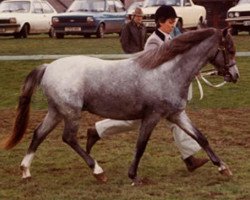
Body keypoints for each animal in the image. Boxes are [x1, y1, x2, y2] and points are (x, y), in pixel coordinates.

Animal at [0, 27, 239, 185]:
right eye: (229, 48)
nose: (234, 75)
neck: (167, 71)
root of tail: (48, 67)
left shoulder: (176, 114)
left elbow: (201, 137)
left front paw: (223, 168)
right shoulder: (152, 116)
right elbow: (141, 145)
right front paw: (133, 176)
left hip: (56, 112)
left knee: (38, 134)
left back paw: (25, 171)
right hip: (71, 112)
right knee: (68, 138)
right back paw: (98, 171)